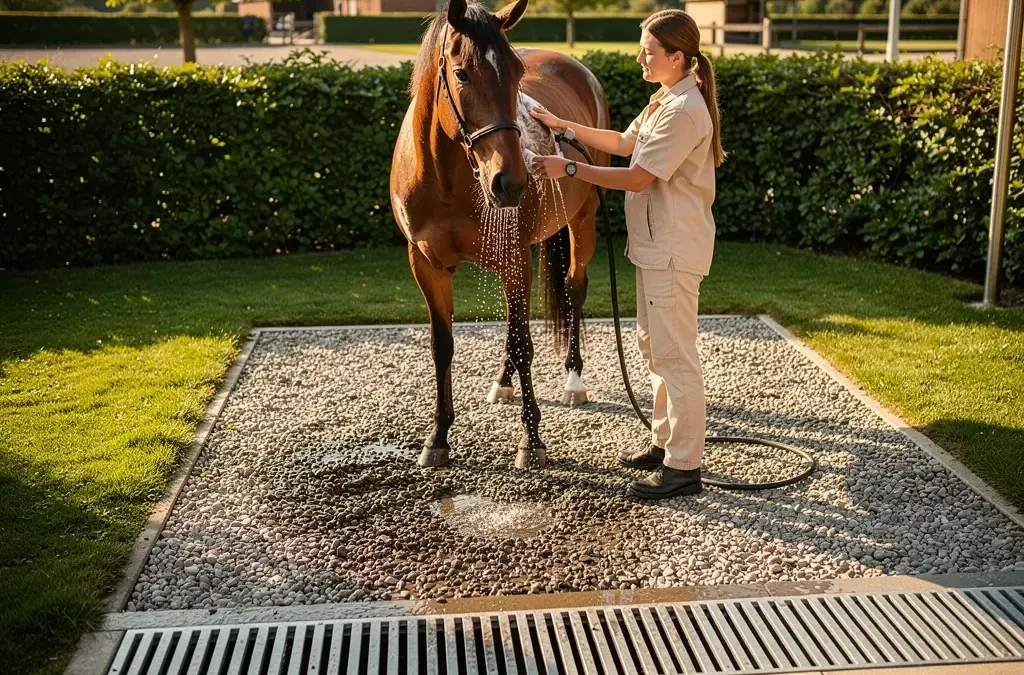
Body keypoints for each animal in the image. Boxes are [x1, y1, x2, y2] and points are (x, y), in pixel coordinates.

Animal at [389, 0, 610, 469]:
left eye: (516, 72)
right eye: (461, 74)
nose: (511, 181)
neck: (446, 179)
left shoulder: (514, 260)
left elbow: (524, 341)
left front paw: (532, 440)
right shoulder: (426, 265)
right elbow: (443, 346)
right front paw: (437, 438)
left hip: (581, 223)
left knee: (573, 290)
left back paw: (574, 380)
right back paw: (503, 381)